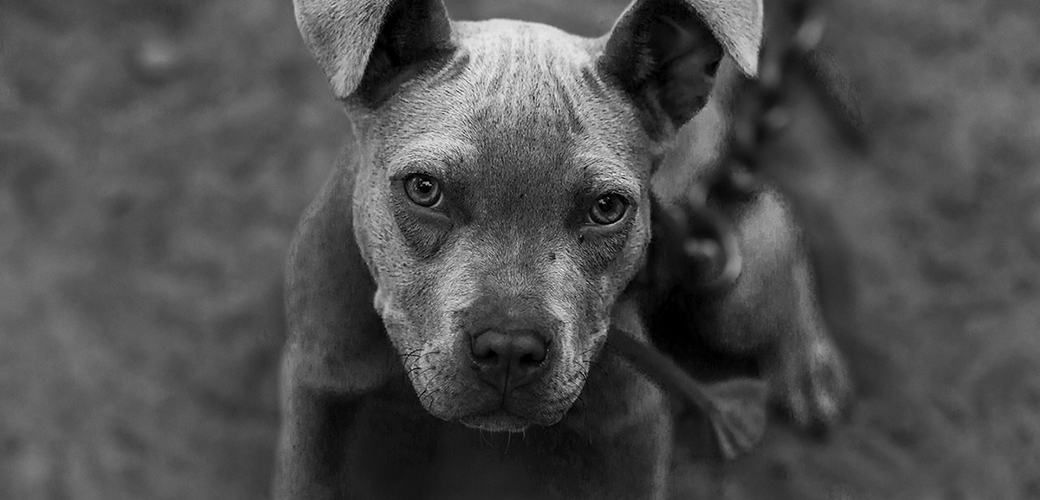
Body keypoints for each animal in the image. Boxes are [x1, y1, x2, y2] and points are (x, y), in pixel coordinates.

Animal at [276, 0, 852, 496]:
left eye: (607, 208)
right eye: (423, 189)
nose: (509, 348)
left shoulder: (633, 428)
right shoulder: (318, 380)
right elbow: (309, 476)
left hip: (732, 298)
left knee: (775, 229)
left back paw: (808, 364)